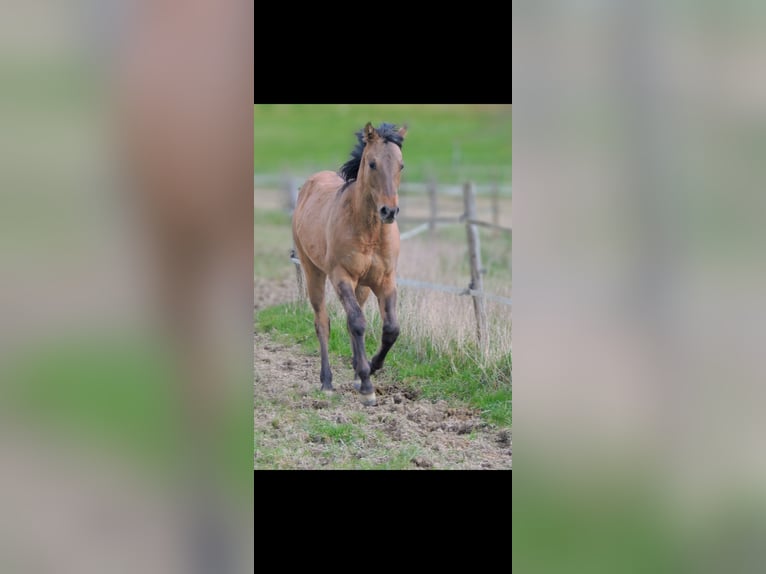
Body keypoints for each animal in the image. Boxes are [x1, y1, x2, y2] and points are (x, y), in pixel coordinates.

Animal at [292, 122, 407, 406]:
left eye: (401, 165)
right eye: (373, 163)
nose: (389, 211)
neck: (370, 231)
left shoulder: (385, 280)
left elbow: (391, 329)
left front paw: (370, 369)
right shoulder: (341, 277)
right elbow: (357, 323)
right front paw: (366, 386)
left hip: (363, 286)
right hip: (314, 273)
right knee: (323, 322)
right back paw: (327, 382)